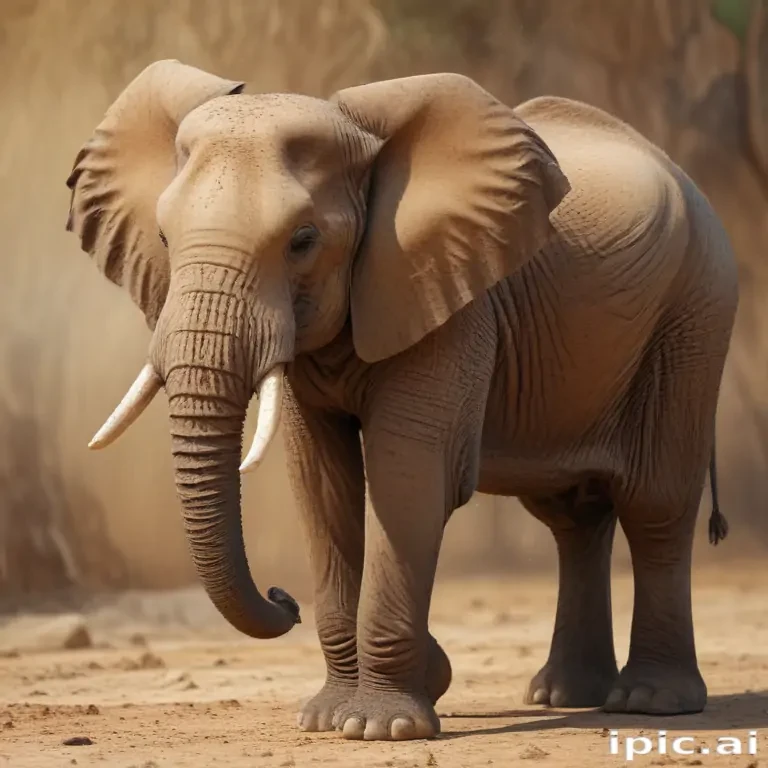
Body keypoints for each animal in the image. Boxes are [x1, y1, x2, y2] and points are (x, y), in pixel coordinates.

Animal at [64, 60, 738, 741]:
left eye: (302, 240)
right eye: (163, 237)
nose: (284, 599)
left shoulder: (449, 294)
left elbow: (407, 473)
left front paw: (379, 727)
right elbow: (321, 481)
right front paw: (329, 717)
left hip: (696, 310)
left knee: (655, 505)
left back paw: (650, 699)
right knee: (573, 517)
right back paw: (563, 696)